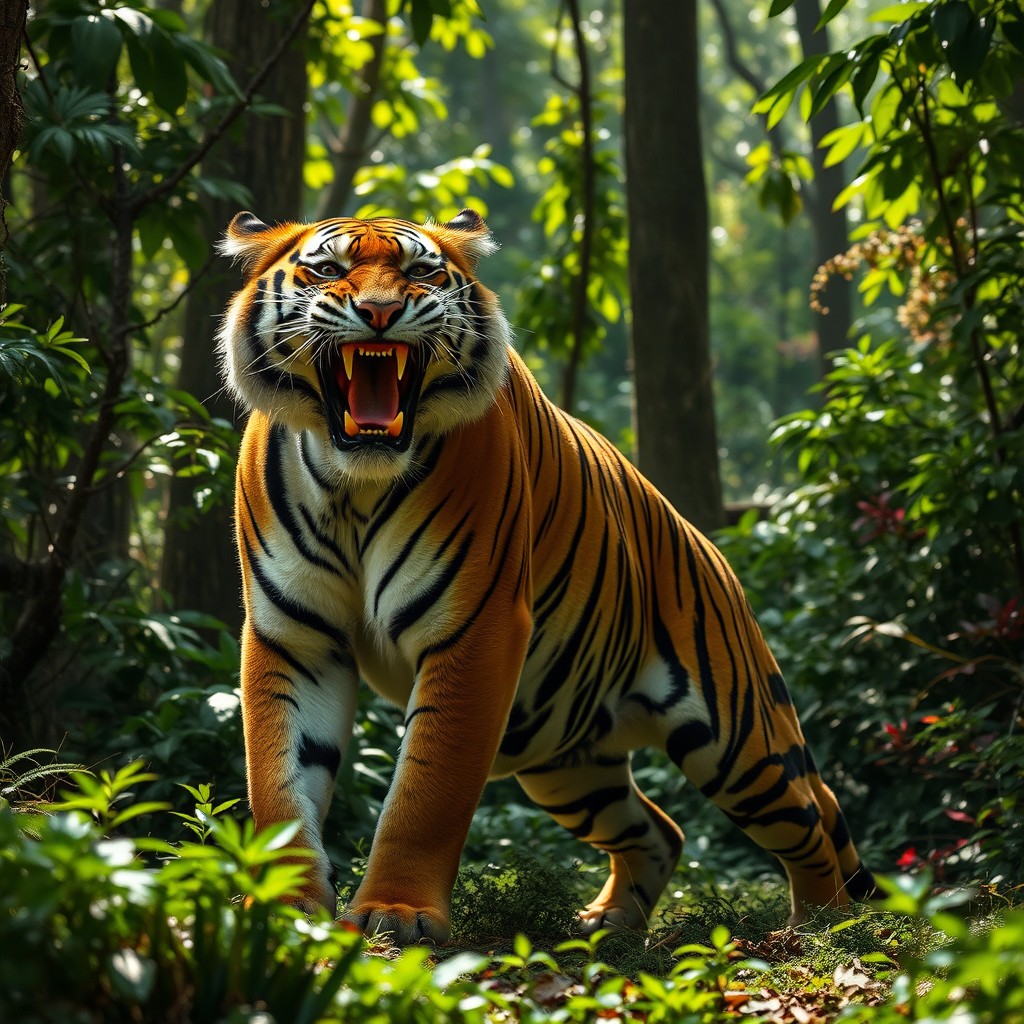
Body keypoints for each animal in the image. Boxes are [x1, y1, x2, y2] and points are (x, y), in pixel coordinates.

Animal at [217, 207, 874, 946]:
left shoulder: (475, 628)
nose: (381, 312)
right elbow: (281, 782)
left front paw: (397, 913)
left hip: (735, 741)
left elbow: (426, 791)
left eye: (422, 273)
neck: (355, 484)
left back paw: (819, 928)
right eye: (327, 270)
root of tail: (711, 551)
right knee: (663, 829)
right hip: (564, 763)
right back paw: (609, 926)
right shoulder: (294, 636)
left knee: (808, 814)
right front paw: (282, 903)